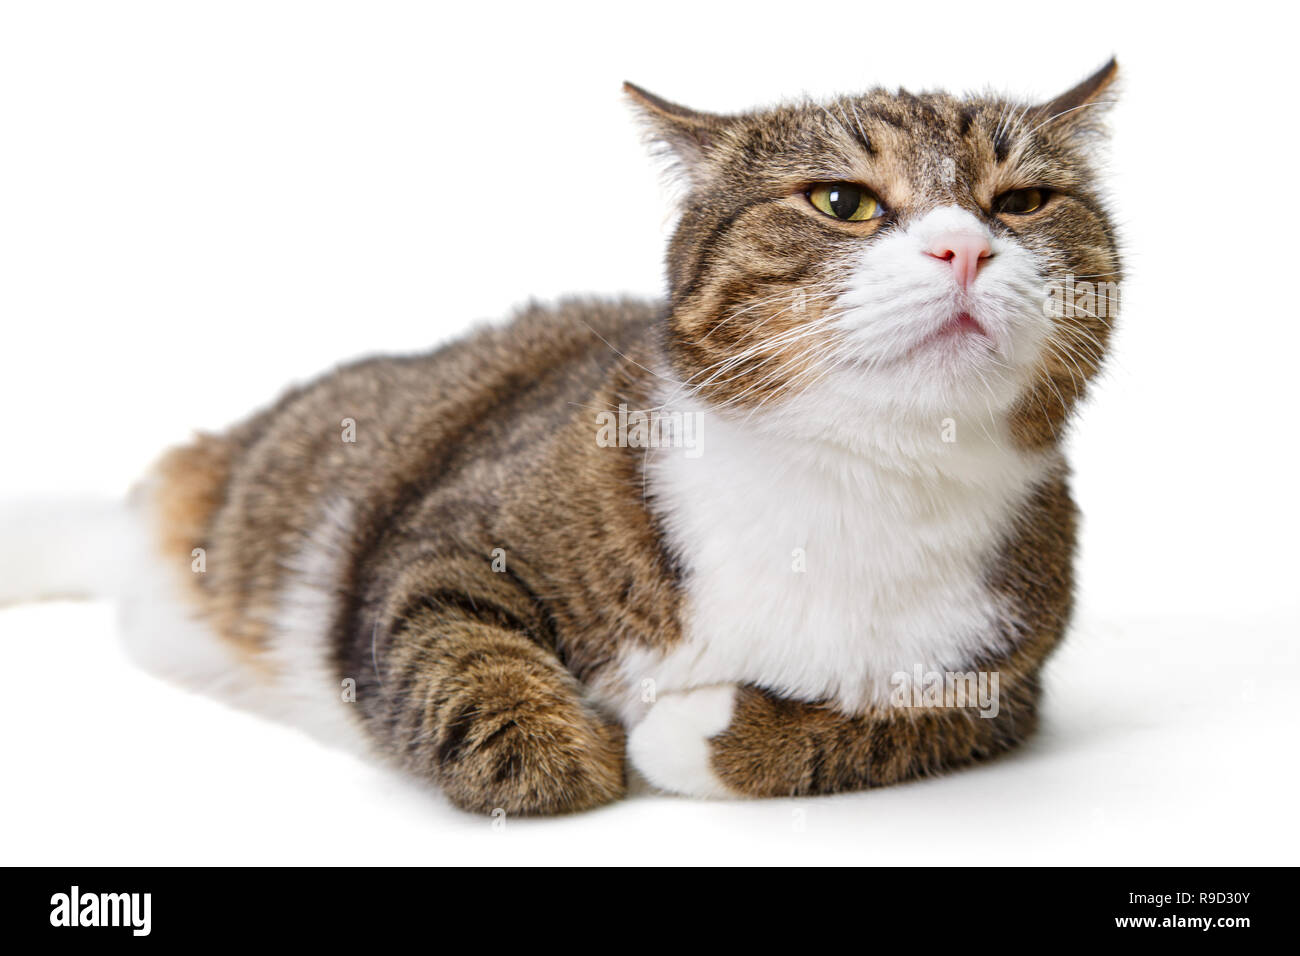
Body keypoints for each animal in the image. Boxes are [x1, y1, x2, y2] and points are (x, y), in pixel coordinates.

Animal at [0, 59, 1118, 816]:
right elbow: (450, 643)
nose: (964, 247)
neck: (857, 479)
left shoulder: (1006, 683)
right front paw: (572, 754)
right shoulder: (436, 539)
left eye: (1022, 202)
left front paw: (697, 734)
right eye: (841, 201)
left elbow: (888, 727)